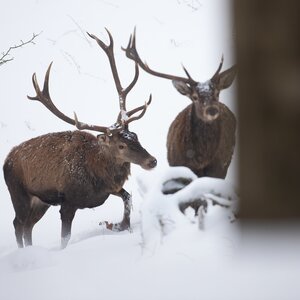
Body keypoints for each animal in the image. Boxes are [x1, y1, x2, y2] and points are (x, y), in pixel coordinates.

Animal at [3, 28, 157, 248]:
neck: (98, 172)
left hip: (41, 201)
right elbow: (65, 238)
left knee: (28, 225)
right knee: (18, 223)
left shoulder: (107, 189)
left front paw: (121, 225)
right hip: (18, 192)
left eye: (135, 136)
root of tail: (6, 159)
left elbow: (128, 196)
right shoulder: (69, 201)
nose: (152, 161)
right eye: (120, 145)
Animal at [122, 30, 237, 179]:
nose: (212, 110)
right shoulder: (178, 163)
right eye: (194, 97)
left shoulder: (219, 168)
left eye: (217, 93)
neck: (201, 159)